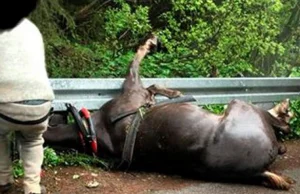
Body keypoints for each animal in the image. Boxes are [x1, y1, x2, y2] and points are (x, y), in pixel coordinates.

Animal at [43, 35, 294, 189]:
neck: (90, 129)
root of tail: (257, 172)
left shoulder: (139, 93)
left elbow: (153, 85)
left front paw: (171, 91)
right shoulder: (134, 88)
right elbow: (138, 61)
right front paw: (152, 45)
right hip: (239, 105)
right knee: (276, 120)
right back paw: (284, 111)